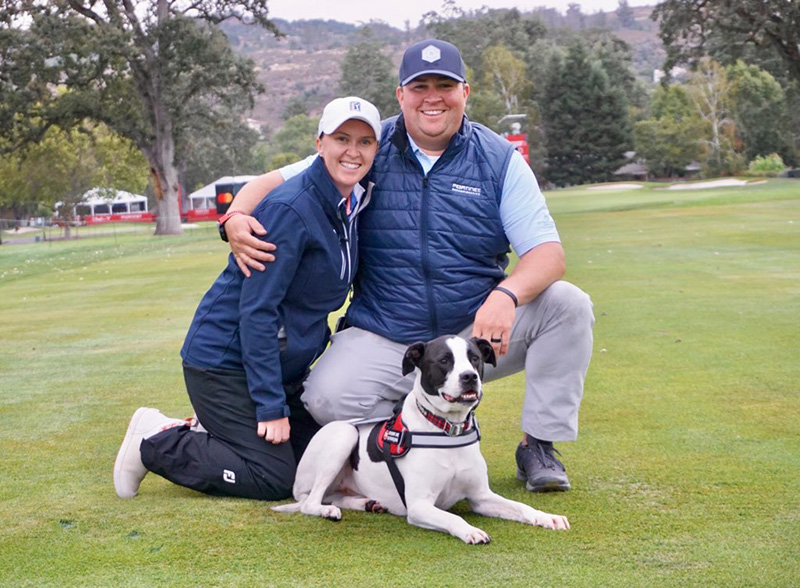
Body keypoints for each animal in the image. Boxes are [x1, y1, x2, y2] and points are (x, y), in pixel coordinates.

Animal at [276, 336, 568, 544]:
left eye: (474, 358)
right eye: (444, 360)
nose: (469, 377)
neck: (448, 429)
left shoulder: (481, 497)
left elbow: (521, 506)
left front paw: (547, 517)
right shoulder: (419, 506)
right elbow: (453, 517)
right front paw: (471, 530)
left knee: (335, 497)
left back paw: (365, 503)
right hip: (342, 435)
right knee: (311, 502)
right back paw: (326, 510)